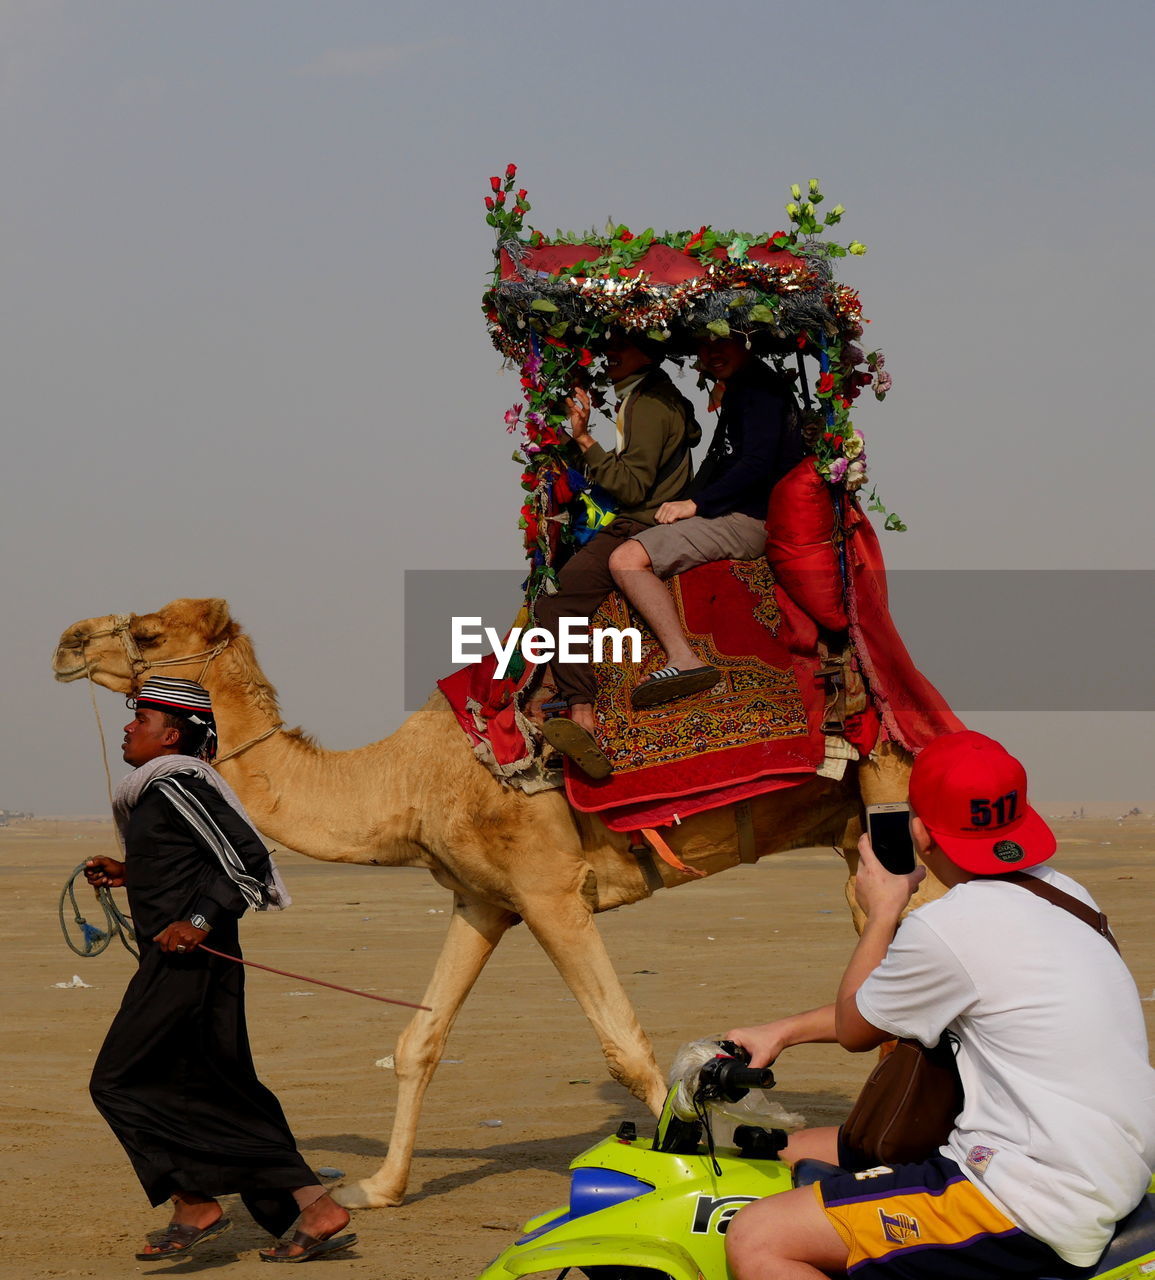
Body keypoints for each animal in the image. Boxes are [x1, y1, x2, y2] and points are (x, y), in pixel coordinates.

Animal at [51, 593, 921, 1203]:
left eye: (149, 634)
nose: (65, 642)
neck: (405, 780)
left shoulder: (549, 891)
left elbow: (627, 1046)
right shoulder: (482, 901)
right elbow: (418, 1041)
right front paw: (378, 1188)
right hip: (856, 837)